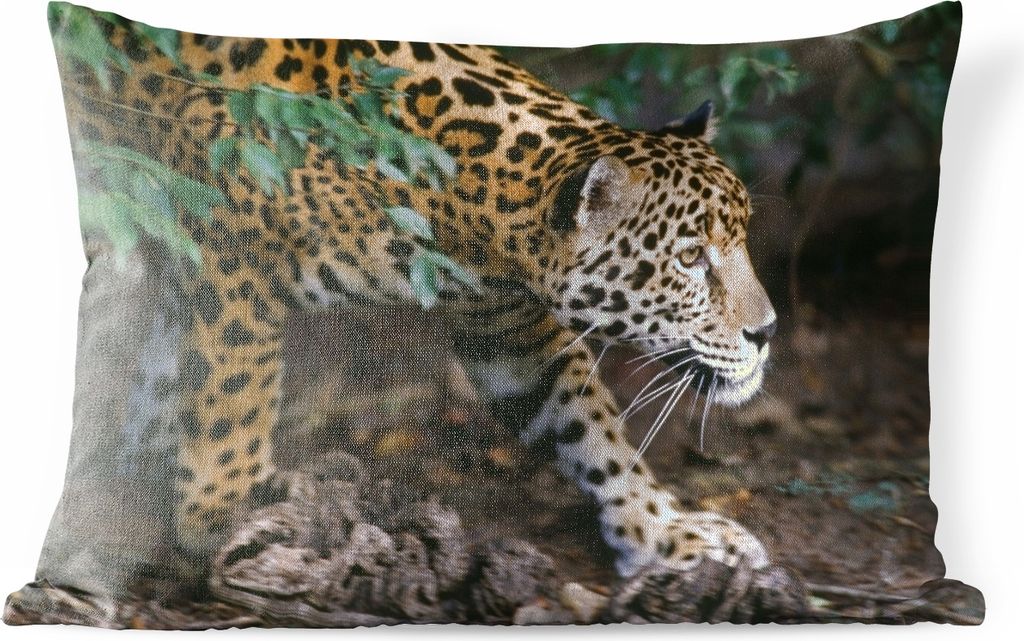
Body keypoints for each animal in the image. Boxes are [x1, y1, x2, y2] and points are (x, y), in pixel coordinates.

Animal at [58, 12, 778, 579]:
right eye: (689, 259)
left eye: (737, 240)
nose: (767, 331)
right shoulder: (227, 255)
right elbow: (235, 393)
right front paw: (220, 514)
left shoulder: (507, 327)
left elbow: (589, 426)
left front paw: (661, 531)